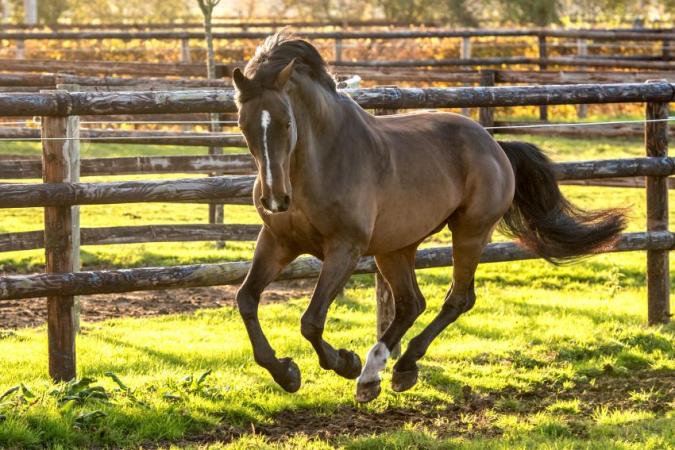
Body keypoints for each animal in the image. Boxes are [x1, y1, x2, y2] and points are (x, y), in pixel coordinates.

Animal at [231, 32, 625, 403]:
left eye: (286, 123)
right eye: (243, 124)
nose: (275, 199)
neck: (319, 163)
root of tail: (494, 145)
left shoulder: (345, 248)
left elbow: (311, 321)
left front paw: (345, 362)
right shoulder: (277, 241)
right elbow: (246, 299)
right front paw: (286, 373)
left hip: (469, 232)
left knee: (458, 299)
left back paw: (397, 368)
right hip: (395, 247)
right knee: (411, 303)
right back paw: (374, 377)